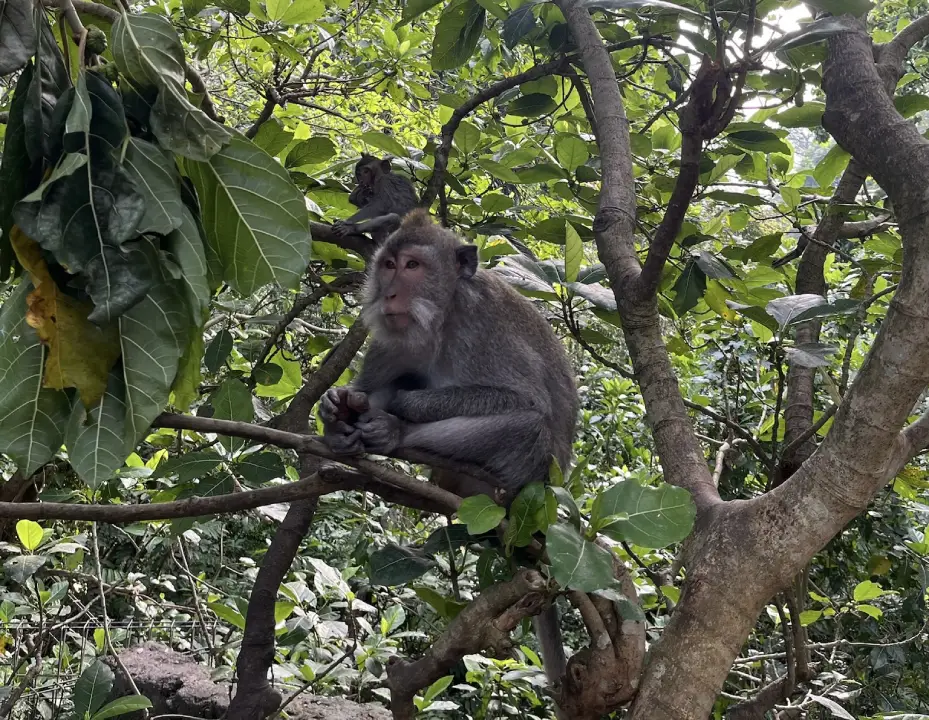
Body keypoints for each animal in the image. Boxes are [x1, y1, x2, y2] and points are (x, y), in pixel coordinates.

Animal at [320, 211, 580, 700]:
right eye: (388, 265)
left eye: (413, 265)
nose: (389, 293)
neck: (439, 318)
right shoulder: (389, 336)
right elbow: (370, 385)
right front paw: (335, 408)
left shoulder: (481, 327)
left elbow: (527, 402)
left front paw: (393, 407)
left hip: (526, 476)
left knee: (528, 425)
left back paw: (392, 433)